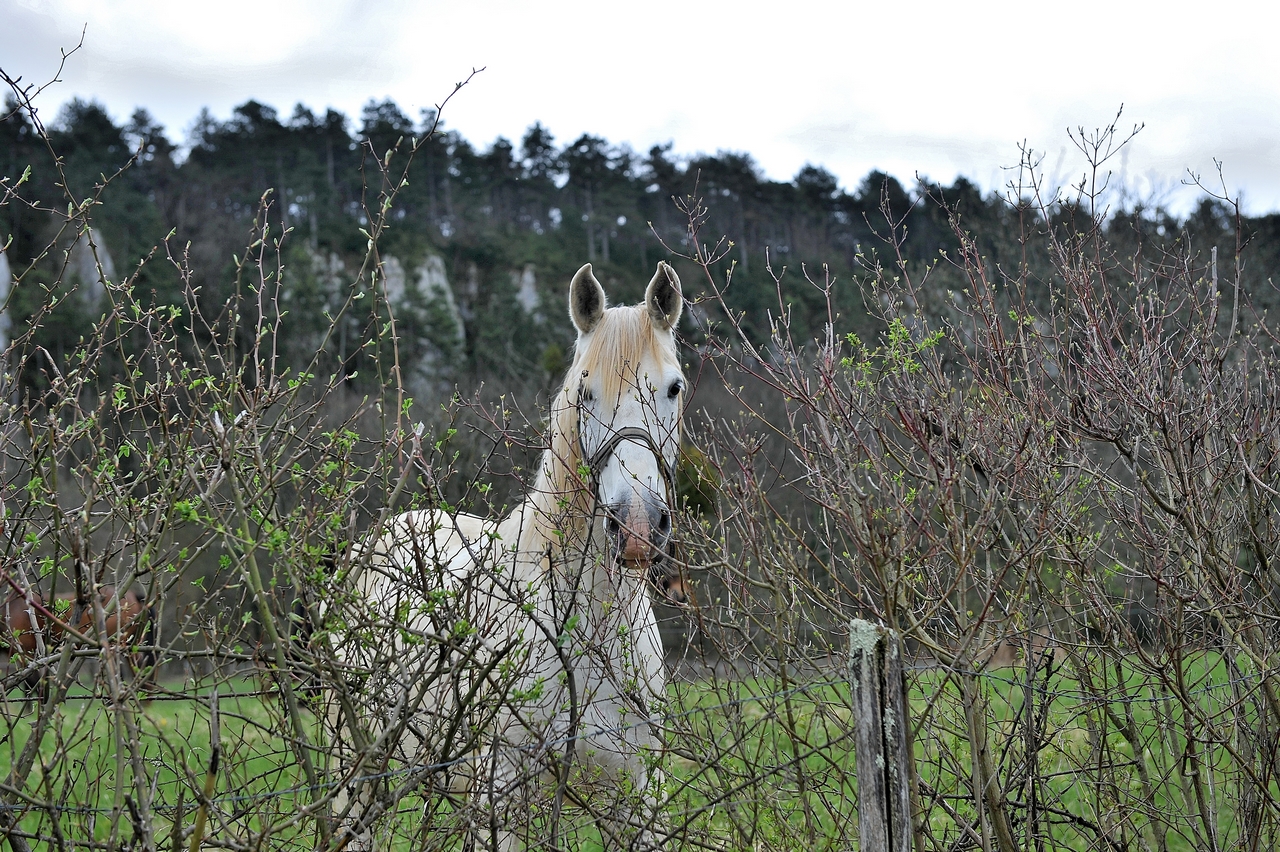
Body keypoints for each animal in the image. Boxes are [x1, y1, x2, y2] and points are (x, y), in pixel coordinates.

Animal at [335, 262, 686, 844]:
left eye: (675, 388)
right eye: (585, 392)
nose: (636, 528)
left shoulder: (643, 797)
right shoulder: (500, 793)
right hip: (357, 777)